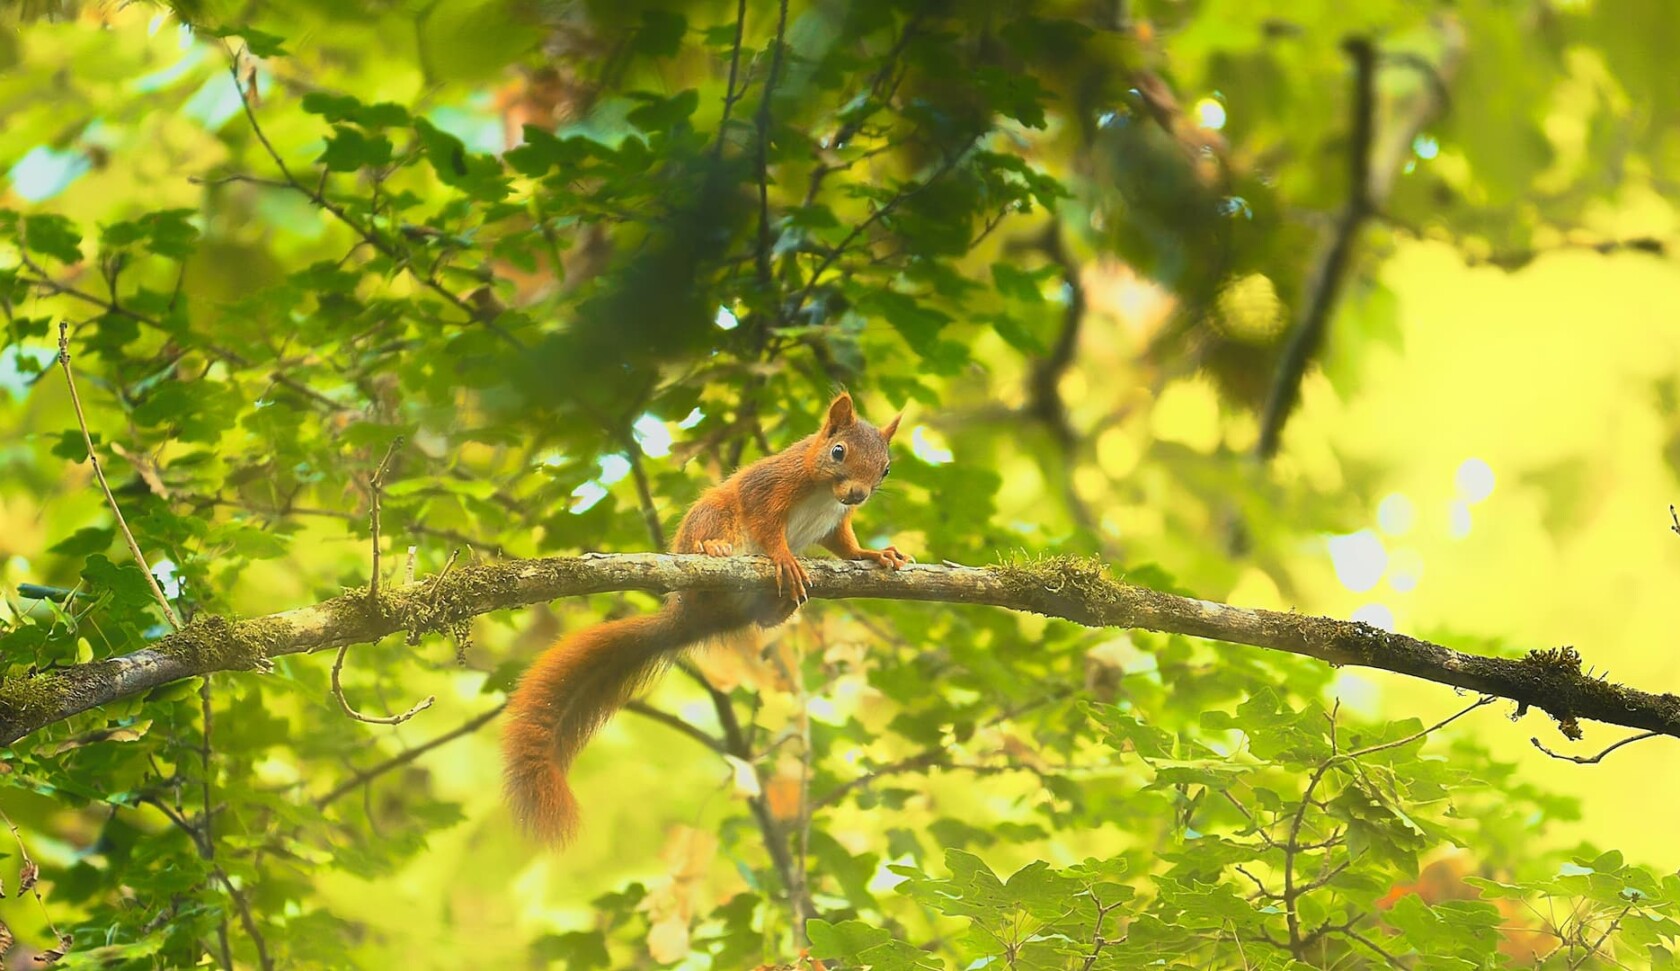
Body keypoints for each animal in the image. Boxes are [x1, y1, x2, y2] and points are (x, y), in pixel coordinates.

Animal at [502, 392, 912, 844]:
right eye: (838, 452)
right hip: (713, 513)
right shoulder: (769, 486)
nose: (857, 494)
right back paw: (712, 550)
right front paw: (784, 557)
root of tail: (688, 616)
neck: (824, 491)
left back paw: (781, 607)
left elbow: (844, 545)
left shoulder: (836, 521)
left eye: (886, 468)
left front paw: (875, 554)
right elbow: (767, 525)